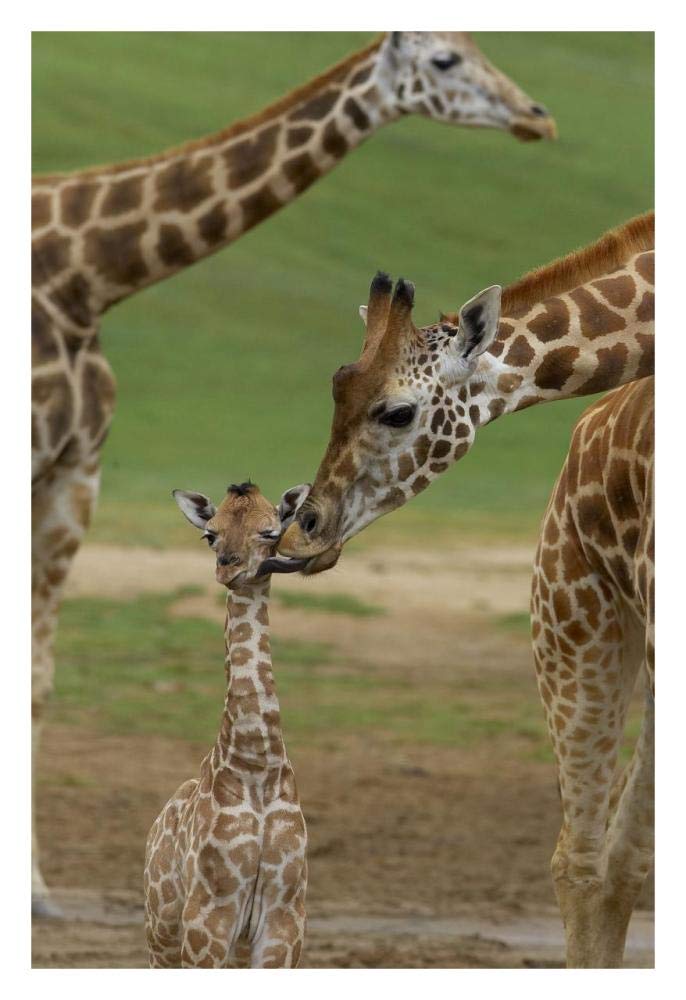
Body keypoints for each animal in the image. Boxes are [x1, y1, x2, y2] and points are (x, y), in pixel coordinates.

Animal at [31, 32, 555, 916]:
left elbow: (36, 674)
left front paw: (35, 890)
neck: (81, 274)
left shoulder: (77, 467)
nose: (537, 115)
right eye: (445, 60)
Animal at [144, 481, 311, 968]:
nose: (228, 568)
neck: (258, 766)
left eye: (271, 530)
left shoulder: (285, 919)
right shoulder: (208, 918)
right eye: (210, 535)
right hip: (161, 935)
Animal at [276, 212, 654, 967]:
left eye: (395, 412)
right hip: (575, 621)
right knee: (588, 858)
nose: (301, 531)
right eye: (336, 389)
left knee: (616, 857)